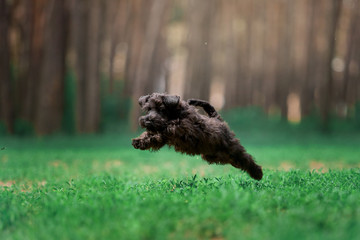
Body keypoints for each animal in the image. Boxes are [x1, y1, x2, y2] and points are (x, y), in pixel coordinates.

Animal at [131, 93, 262, 179]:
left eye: (162, 109)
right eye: (148, 109)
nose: (147, 120)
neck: (175, 113)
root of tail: (218, 120)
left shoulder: (186, 130)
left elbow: (169, 127)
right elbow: (152, 135)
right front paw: (139, 141)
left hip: (233, 149)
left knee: (246, 159)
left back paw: (258, 173)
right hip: (216, 156)